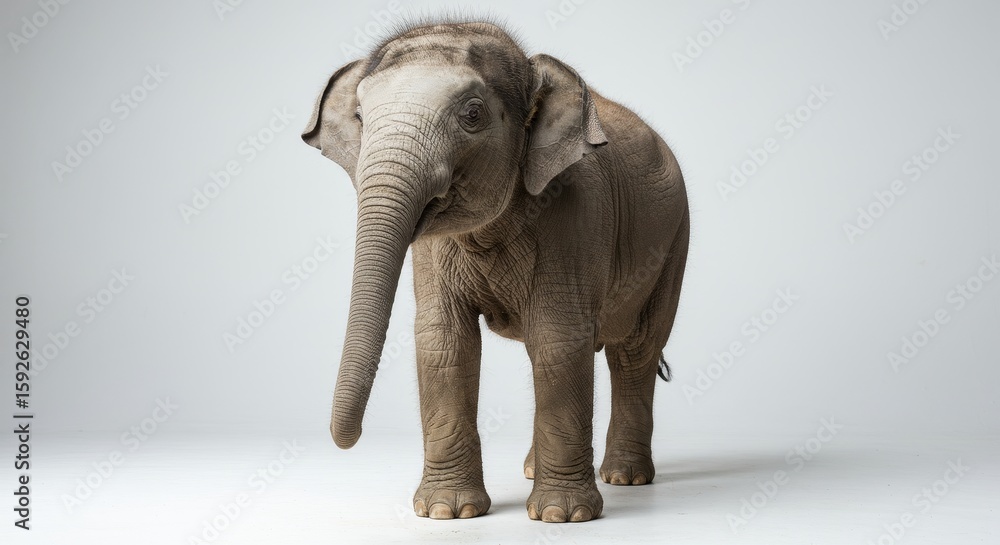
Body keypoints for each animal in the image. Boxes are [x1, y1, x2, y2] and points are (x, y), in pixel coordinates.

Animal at [302, 20, 689, 523]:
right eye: (361, 117)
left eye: (473, 114)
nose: (346, 441)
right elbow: (444, 340)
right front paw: (445, 511)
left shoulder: (577, 212)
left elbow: (559, 336)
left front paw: (561, 516)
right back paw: (534, 470)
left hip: (674, 241)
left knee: (634, 351)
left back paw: (625, 477)